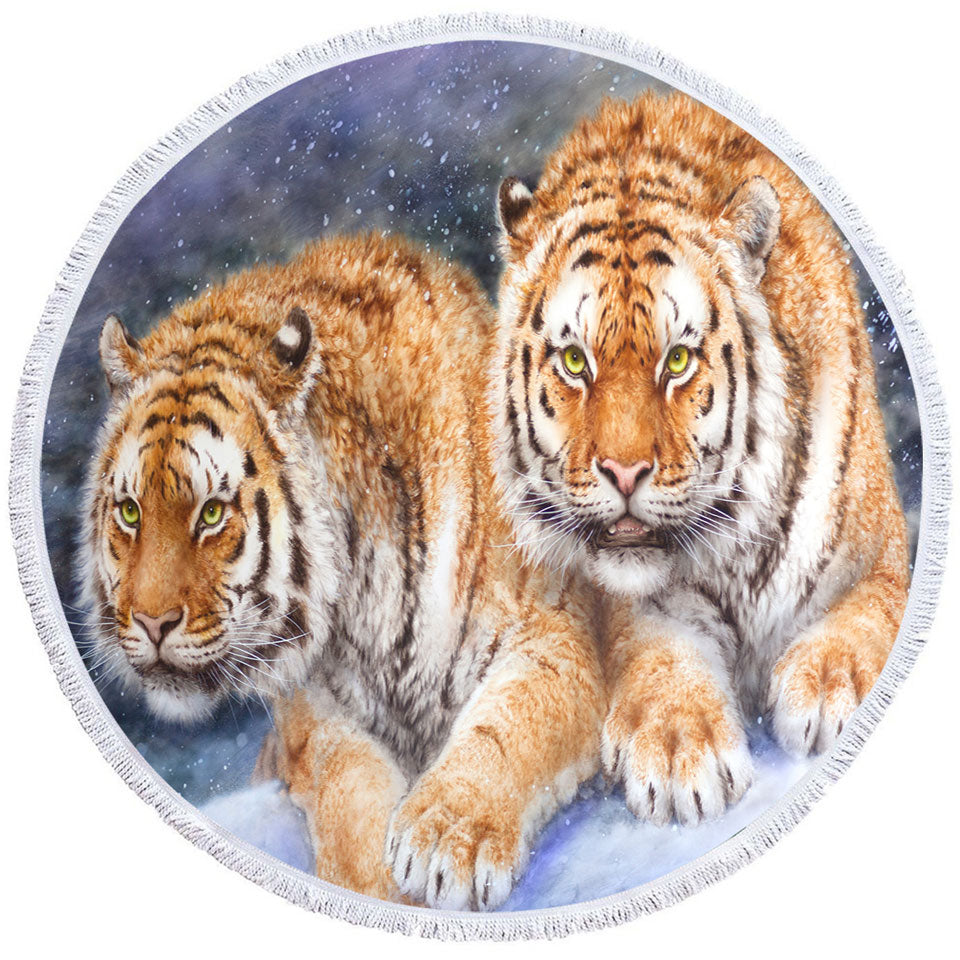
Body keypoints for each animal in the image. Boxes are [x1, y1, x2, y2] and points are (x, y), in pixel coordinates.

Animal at [81, 232, 605, 909]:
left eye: (212, 512)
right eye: (130, 511)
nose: (149, 624)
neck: (364, 582)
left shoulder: (557, 637)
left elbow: (506, 727)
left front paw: (446, 839)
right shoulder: (312, 710)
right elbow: (348, 788)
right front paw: (381, 888)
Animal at [493, 91, 909, 826]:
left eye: (678, 360)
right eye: (575, 361)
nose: (624, 474)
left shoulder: (883, 557)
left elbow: (871, 614)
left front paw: (826, 687)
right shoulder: (639, 608)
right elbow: (661, 656)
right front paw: (680, 751)